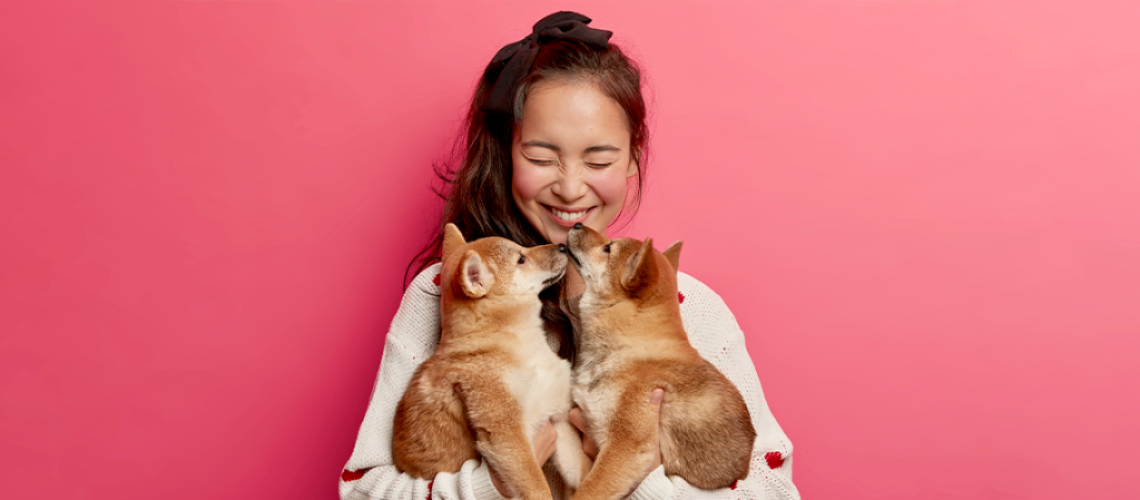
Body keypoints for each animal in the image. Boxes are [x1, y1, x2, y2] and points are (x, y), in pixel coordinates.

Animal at [394, 224, 592, 500]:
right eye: (521, 259)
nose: (562, 246)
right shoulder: (507, 435)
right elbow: (538, 488)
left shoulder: (557, 419)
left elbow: (583, 472)